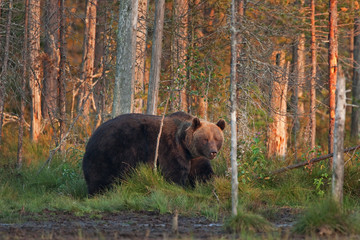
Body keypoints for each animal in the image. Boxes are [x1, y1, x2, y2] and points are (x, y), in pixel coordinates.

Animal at [83, 111, 226, 196]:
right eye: (205, 139)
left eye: (217, 139)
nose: (213, 152)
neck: (185, 143)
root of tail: (92, 137)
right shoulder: (170, 148)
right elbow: (174, 172)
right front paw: (179, 187)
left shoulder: (195, 156)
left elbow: (202, 172)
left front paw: (213, 184)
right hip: (111, 151)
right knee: (101, 176)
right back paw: (98, 193)